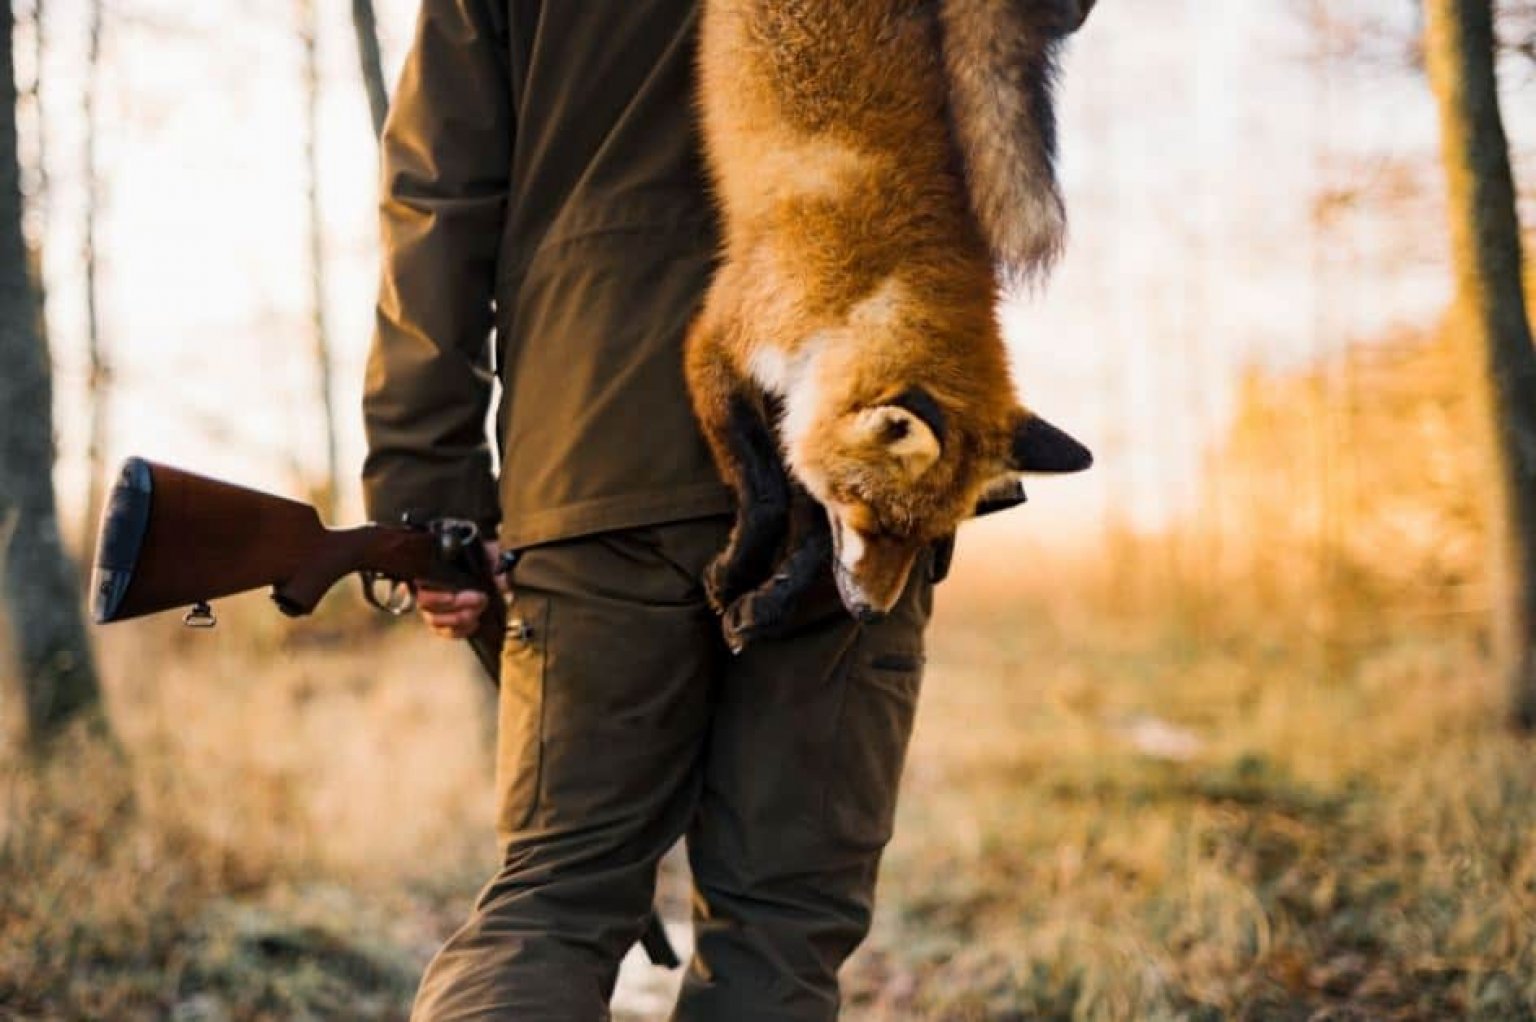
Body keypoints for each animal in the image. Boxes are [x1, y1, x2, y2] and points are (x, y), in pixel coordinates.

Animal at [691, 0, 1099, 642]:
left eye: (928, 537)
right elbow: (765, 488)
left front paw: (768, 602)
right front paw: (736, 571)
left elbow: (815, 527)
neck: (870, 289)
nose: (870, 613)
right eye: (880, 521)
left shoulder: (810, 408)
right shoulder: (719, 340)